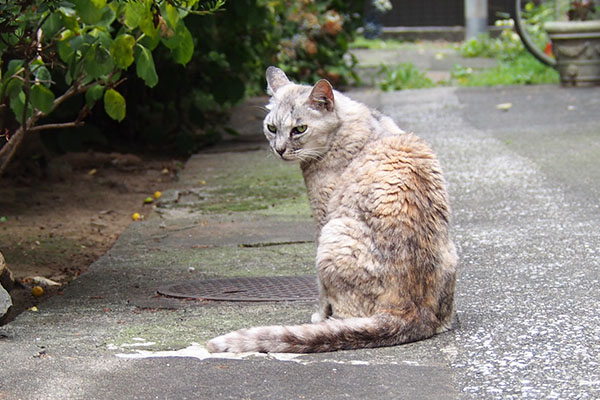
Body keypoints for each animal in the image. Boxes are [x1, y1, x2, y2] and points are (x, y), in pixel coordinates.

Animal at [209, 66, 458, 354]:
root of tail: (412, 313)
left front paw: (319, 315)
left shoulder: (322, 215)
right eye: (271, 128)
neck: (351, 126)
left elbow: (321, 293)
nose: (279, 149)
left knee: (344, 314)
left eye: (299, 129)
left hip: (334, 235)